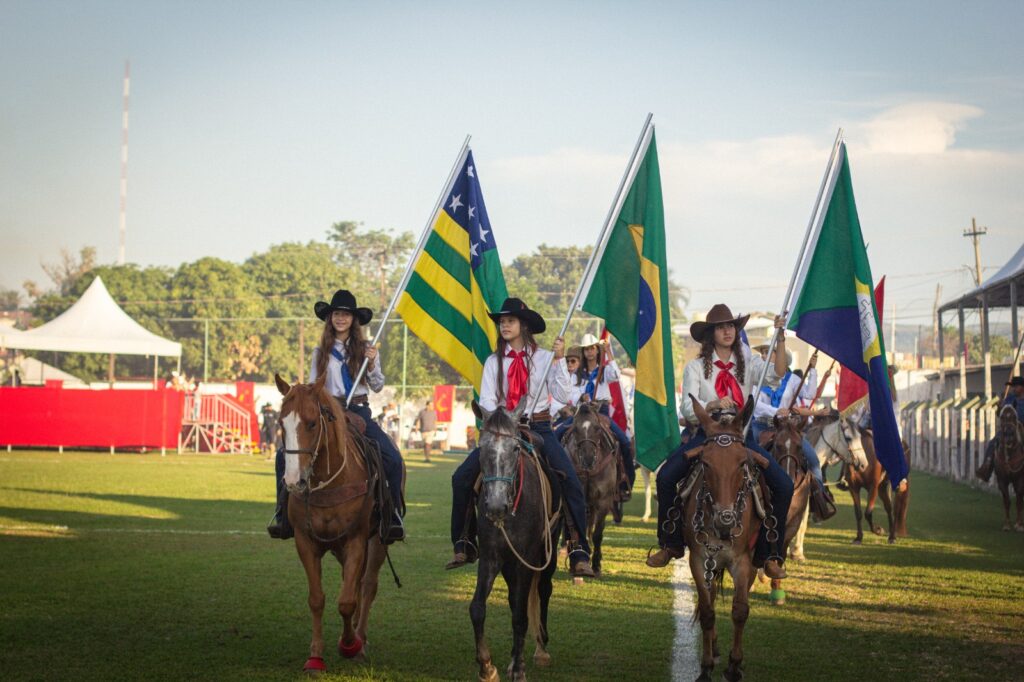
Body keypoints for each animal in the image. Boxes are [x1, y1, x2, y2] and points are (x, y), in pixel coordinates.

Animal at [274, 374, 401, 671]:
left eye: (312, 423)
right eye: (281, 423)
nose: (293, 482)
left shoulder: (356, 540)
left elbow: (347, 601)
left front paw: (349, 645)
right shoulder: (305, 541)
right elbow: (317, 599)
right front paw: (315, 657)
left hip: (378, 541)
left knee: (367, 585)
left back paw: (360, 639)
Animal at [561, 395, 614, 577]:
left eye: (597, 428)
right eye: (575, 429)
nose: (588, 459)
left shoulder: (604, 501)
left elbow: (597, 534)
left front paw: (596, 565)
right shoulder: (578, 499)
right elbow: (578, 528)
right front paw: (577, 562)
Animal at [679, 395, 770, 675]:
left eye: (742, 463)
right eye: (706, 463)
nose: (725, 520)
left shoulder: (743, 562)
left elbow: (740, 610)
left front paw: (734, 665)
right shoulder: (698, 560)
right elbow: (707, 612)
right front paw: (706, 666)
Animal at [991, 403, 1024, 532]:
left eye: (1014, 417)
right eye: (1002, 417)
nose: (1009, 436)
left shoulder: (1019, 480)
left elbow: (1019, 501)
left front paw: (1019, 525)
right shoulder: (1002, 480)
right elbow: (1006, 501)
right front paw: (1006, 525)